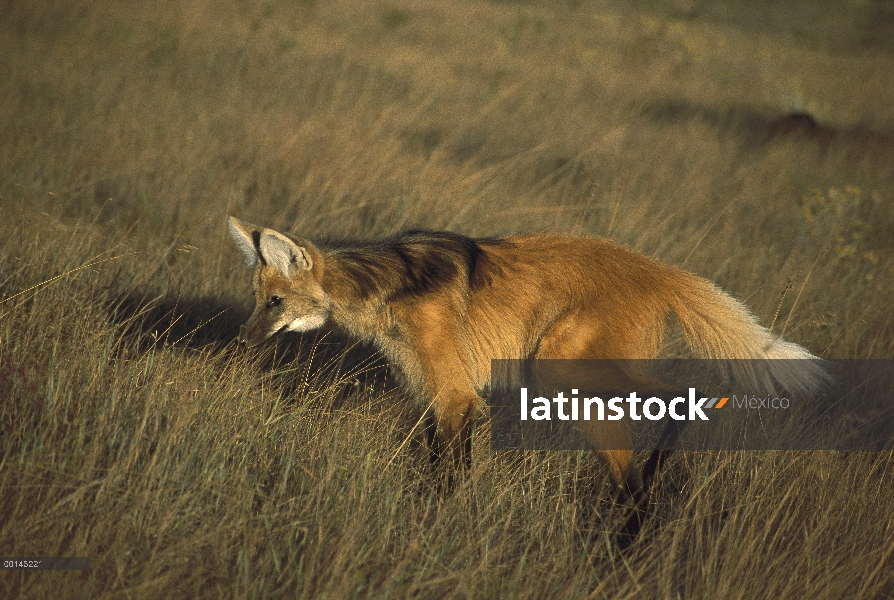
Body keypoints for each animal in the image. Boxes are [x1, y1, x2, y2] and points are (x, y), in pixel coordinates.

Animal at [228, 218, 828, 540]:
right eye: (259, 300)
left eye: (275, 302)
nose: (242, 341)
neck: (388, 286)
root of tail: (654, 267)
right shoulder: (437, 396)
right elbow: (442, 463)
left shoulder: (455, 395)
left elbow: (448, 474)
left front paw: (435, 526)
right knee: (676, 405)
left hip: (559, 367)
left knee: (668, 415)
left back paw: (627, 535)